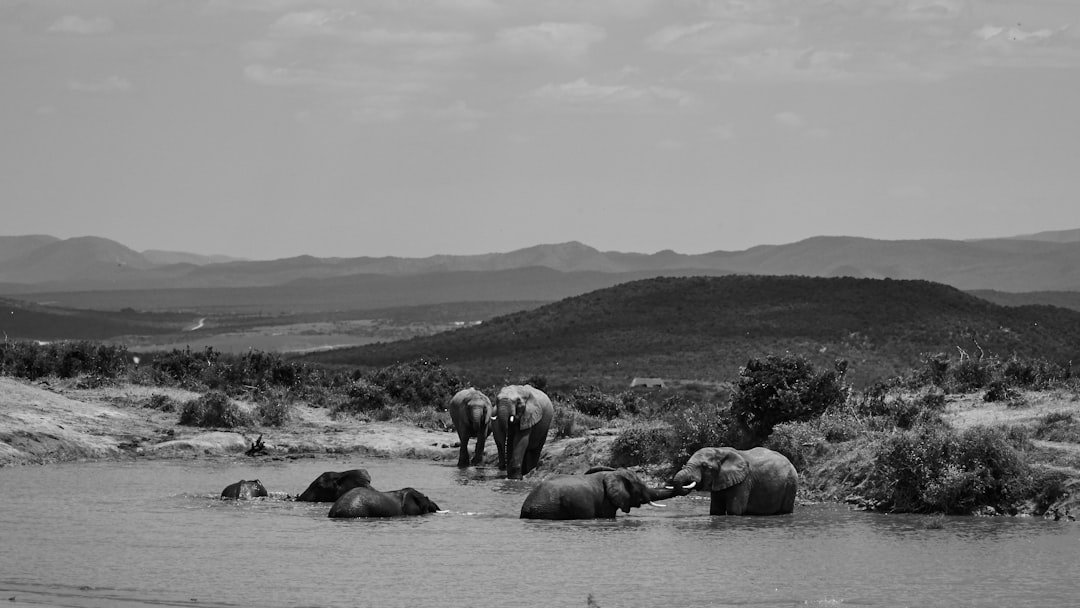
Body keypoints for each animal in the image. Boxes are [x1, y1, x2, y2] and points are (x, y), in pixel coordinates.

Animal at [669, 444, 799, 516]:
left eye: (704, 466)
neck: (719, 451)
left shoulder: (744, 481)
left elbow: (734, 511)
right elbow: (715, 510)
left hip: (791, 482)